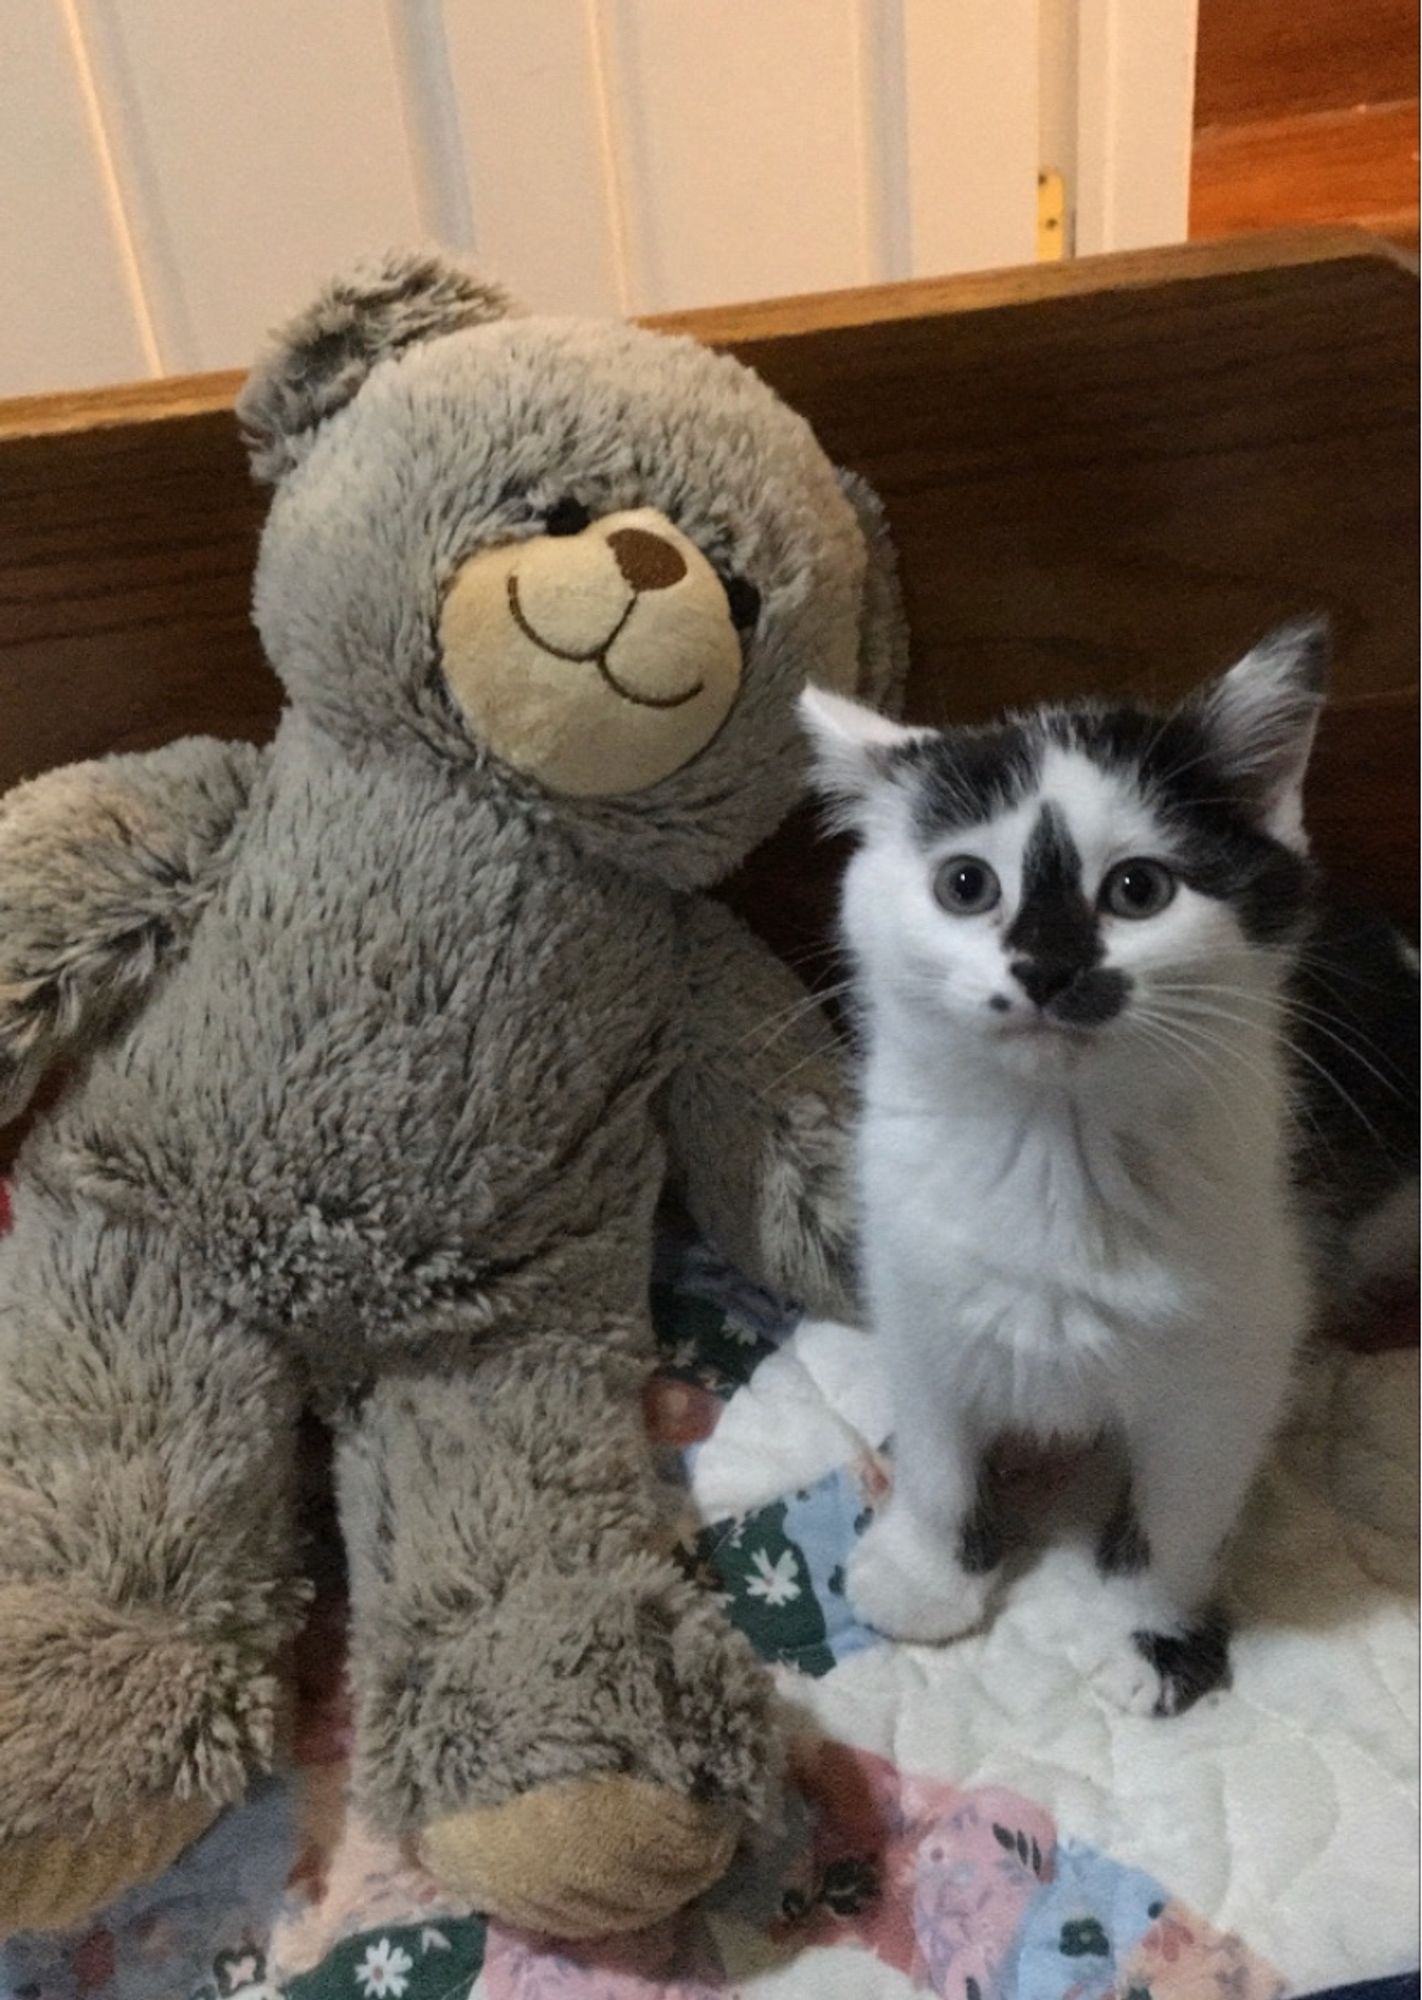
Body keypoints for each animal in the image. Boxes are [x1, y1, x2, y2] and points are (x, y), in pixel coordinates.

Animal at [800, 628, 1422, 1720]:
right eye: (967, 884)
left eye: (1138, 889)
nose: (1047, 965)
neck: (1057, 1147)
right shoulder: (917, 1284)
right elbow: (939, 1439)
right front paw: (928, 1571)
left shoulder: (1227, 1351)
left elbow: (1184, 1502)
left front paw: (1151, 1634)